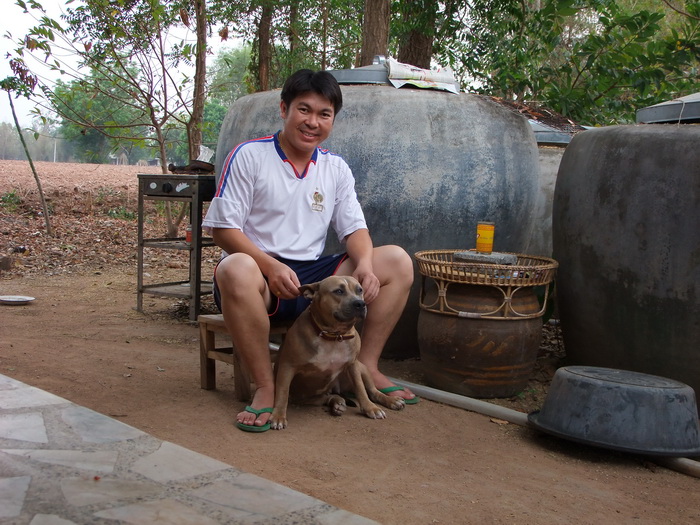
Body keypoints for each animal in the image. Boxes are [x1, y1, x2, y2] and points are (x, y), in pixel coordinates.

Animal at [270, 276, 408, 428]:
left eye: (360, 290)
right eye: (339, 291)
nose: (361, 303)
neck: (334, 336)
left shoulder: (353, 365)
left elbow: (360, 388)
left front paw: (370, 408)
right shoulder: (287, 366)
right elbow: (282, 393)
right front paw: (278, 416)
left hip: (363, 368)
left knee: (372, 391)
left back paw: (390, 400)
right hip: (306, 397)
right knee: (326, 397)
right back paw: (337, 402)